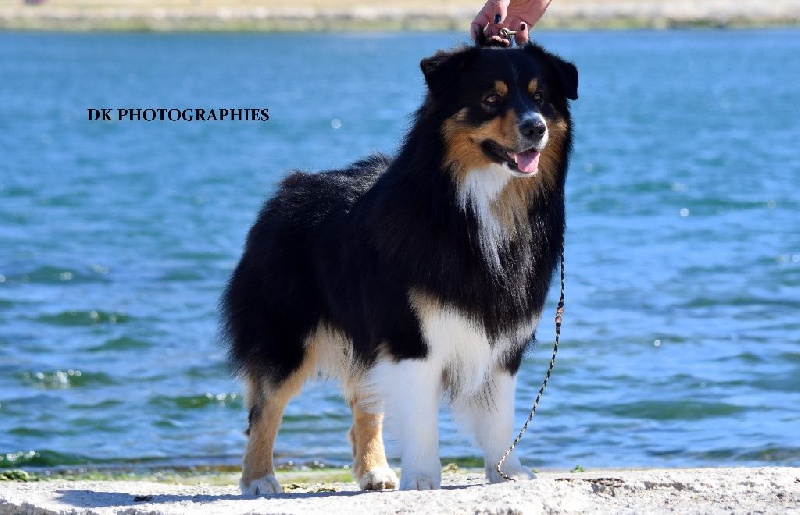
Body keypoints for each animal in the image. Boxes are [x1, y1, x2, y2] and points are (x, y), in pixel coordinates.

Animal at [222, 41, 580, 496]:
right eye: (490, 99)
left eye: (540, 98)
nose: (536, 128)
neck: (480, 204)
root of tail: (288, 188)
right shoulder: (410, 334)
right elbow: (421, 417)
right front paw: (423, 478)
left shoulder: (502, 332)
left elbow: (500, 411)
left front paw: (507, 471)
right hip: (286, 333)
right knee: (264, 408)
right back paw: (259, 479)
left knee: (365, 404)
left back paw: (374, 472)